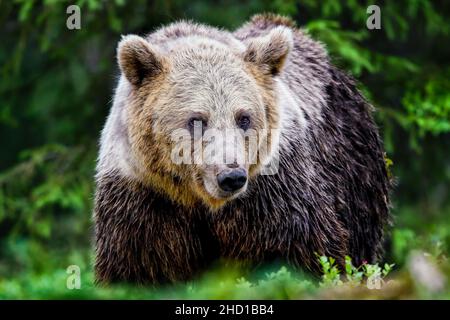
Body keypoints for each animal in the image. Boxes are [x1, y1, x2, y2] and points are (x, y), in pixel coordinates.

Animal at [94, 12, 390, 284]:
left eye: (244, 118)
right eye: (197, 119)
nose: (231, 176)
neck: (201, 202)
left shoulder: (274, 194)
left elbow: (301, 250)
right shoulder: (145, 197)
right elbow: (141, 264)